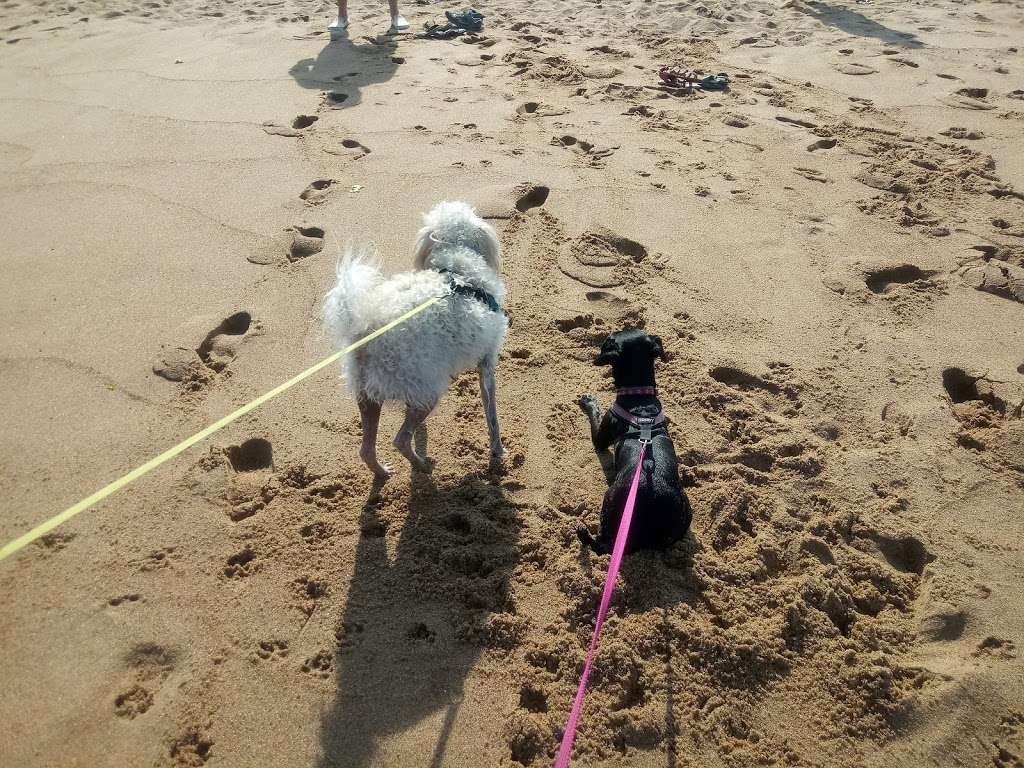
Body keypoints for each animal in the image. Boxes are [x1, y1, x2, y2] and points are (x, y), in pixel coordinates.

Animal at [323, 201, 507, 479]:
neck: (457, 269)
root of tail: (367, 332)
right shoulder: (487, 364)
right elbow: (492, 415)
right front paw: (498, 451)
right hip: (428, 391)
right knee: (400, 439)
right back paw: (422, 466)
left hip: (369, 396)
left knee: (367, 449)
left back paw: (383, 472)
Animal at [581, 327, 692, 557]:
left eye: (609, 341)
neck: (639, 396)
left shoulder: (601, 435)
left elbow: (595, 416)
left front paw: (589, 401)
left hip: (611, 501)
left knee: (602, 546)